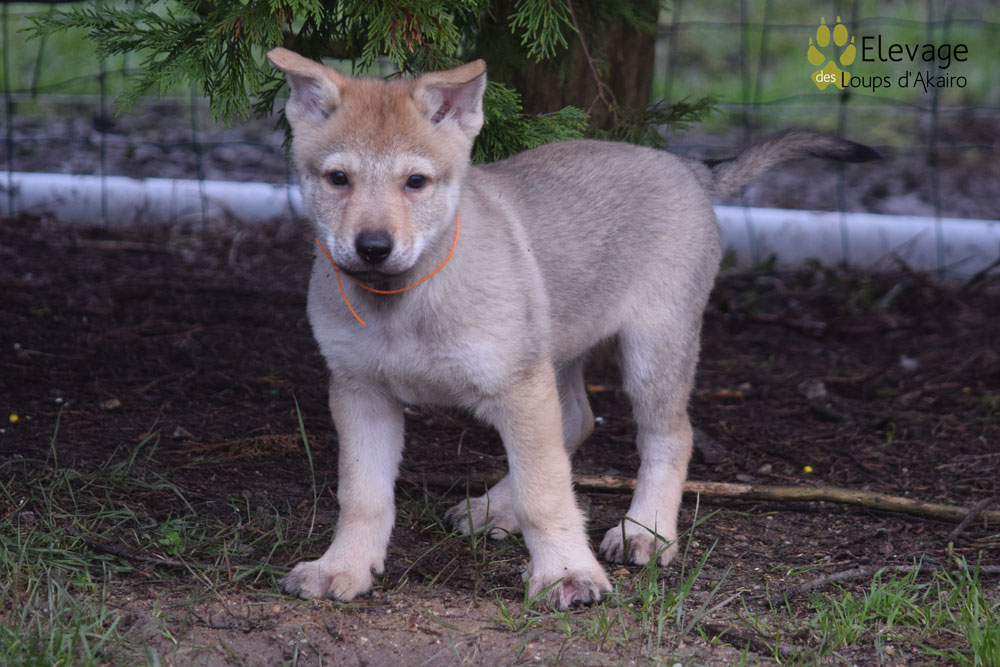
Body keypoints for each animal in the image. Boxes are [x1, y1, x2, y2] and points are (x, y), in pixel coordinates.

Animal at [265, 48, 878, 609]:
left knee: (667, 436)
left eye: (416, 181)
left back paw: (646, 531)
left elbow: (547, 491)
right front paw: (343, 566)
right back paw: (495, 507)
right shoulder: (361, 392)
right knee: (576, 421)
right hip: (557, 352)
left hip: (654, 350)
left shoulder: (518, 385)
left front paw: (566, 574)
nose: (373, 247)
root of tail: (688, 167)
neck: (402, 302)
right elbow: (362, 493)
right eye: (338, 179)